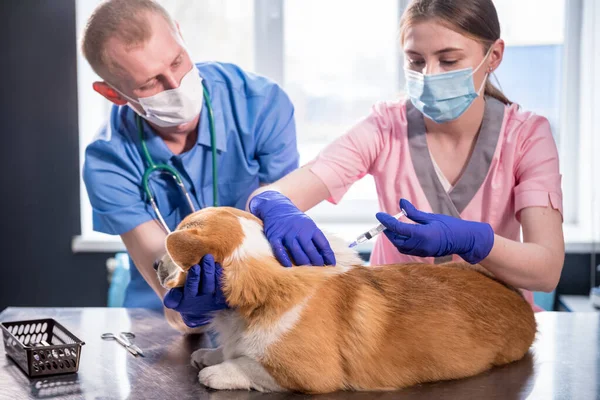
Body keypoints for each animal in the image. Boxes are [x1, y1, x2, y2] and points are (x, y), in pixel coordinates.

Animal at [155, 206, 536, 394]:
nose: (155, 264)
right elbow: (232, 350)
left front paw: (218, 371)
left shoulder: (309, 375)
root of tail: (518, 300)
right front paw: (211, 354)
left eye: (170, 254)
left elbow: (249, 366)